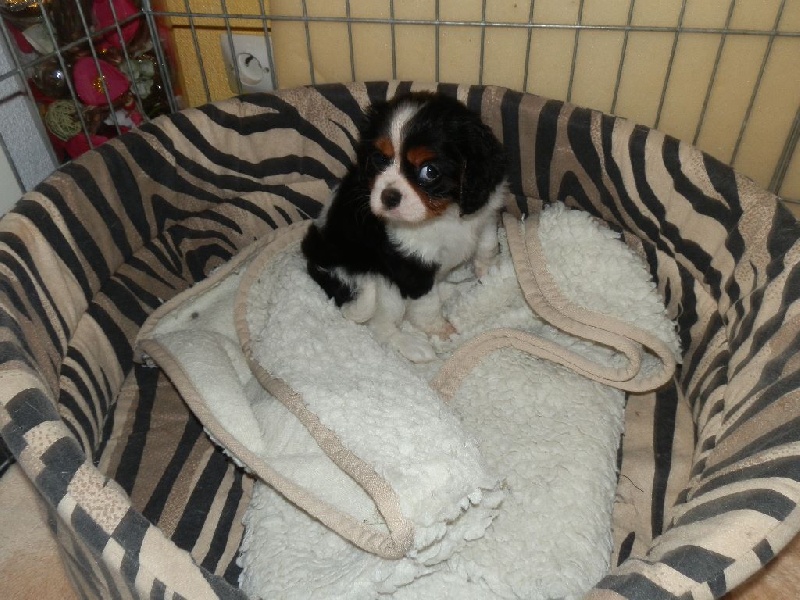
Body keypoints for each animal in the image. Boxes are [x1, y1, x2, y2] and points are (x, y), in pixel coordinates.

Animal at [301, 91, 507, 362]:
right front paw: (441, 332)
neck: (444, 213)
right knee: (381, 326)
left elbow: (487, 248)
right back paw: (412, 345)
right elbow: (425, 305)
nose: (388, 197)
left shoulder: (485, 218)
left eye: (429, 171)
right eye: (379, 160)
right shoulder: (411, 265)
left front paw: (491, 276)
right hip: (379, 286)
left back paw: (456, 289)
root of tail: (314, 263)